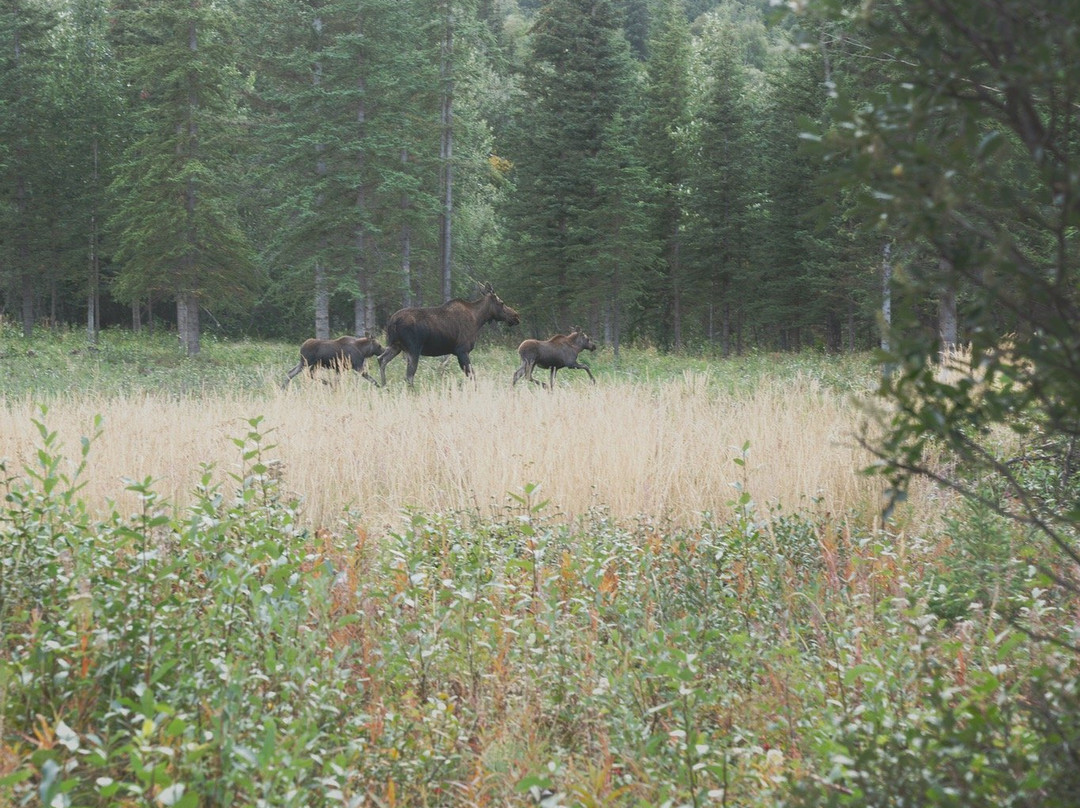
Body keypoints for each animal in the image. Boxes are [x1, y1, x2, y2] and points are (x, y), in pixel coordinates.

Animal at [378, 283, 520, 384]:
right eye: (501, 302)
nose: (516, 316)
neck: (478, 320)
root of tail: (392, 322)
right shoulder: (462, 350)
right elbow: (472, 375)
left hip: (396, 345)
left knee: (381, 359)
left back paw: (384, 385)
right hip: (413, 349)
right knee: (409, 375)